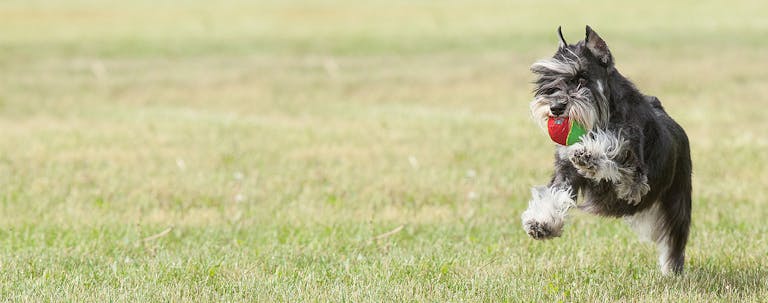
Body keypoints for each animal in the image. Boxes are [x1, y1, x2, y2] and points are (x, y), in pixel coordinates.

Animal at [520, 26, 688, 276]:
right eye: (549, 80)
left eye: (581, 78)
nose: (556, 107)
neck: (603, 117)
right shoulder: (565, 172)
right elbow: (554, 194)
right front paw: (541, 223)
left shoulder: (635, 178)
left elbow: (613, 149)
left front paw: (589, 153)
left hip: (678, 202)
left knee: (675, 239)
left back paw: (672, 271)